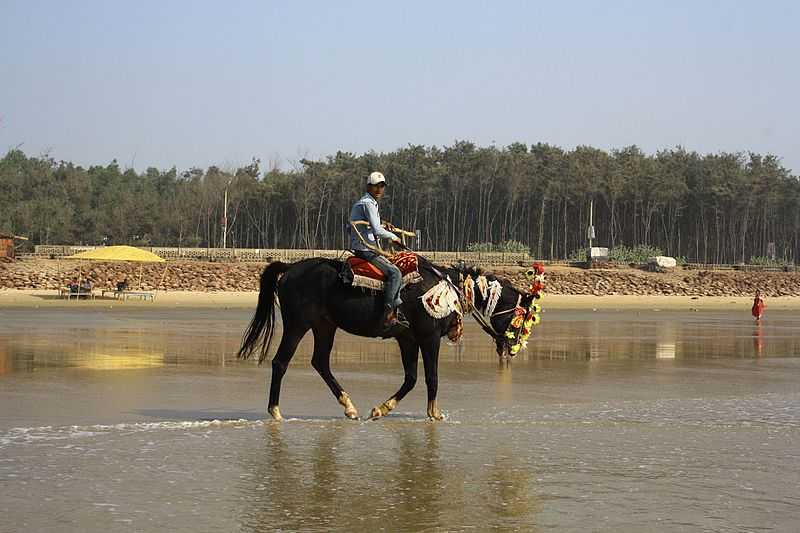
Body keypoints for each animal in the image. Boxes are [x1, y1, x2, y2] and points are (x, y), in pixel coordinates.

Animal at [239, 255, 536, 420]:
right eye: (522, 318)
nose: (512, 349)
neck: (446, 289)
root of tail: (289, 269)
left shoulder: (408, 339)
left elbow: (411, 378)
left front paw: (381, 409)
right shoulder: (429, 337)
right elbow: (431, 377)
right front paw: (434, 413)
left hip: (325, 326)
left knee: (320, 362)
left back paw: (349, 407)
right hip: (297, 325)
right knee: (280, 363)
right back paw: (275, 411)